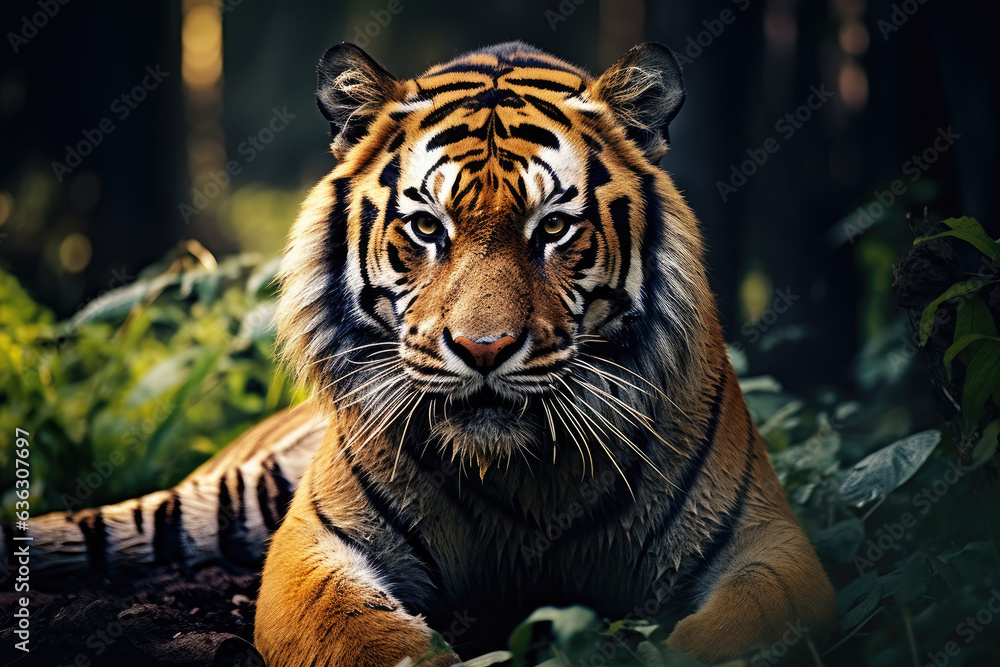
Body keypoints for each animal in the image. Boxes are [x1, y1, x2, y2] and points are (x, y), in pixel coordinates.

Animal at [7, 41, 836, 666]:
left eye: (554, 227)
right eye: (428, 227)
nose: (483, 349)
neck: (521, 475)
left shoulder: (768, 541)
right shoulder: (316, 542)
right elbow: (372, 639)